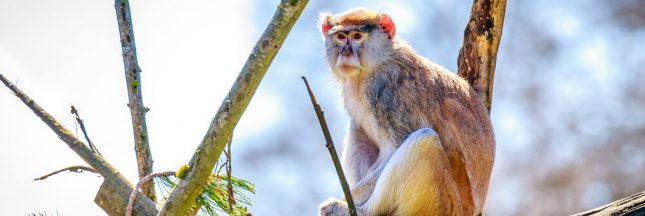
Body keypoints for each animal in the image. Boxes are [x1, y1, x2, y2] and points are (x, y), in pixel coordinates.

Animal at [316, 7, 494, 215]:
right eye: (341, 37)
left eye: (357, 36)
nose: (345, 52)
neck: (380, 60)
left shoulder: (385, 90)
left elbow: (395, 147)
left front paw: (346, 199)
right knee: (357, 127)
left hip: (442, 202)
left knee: (425, 141)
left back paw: (357, 211)